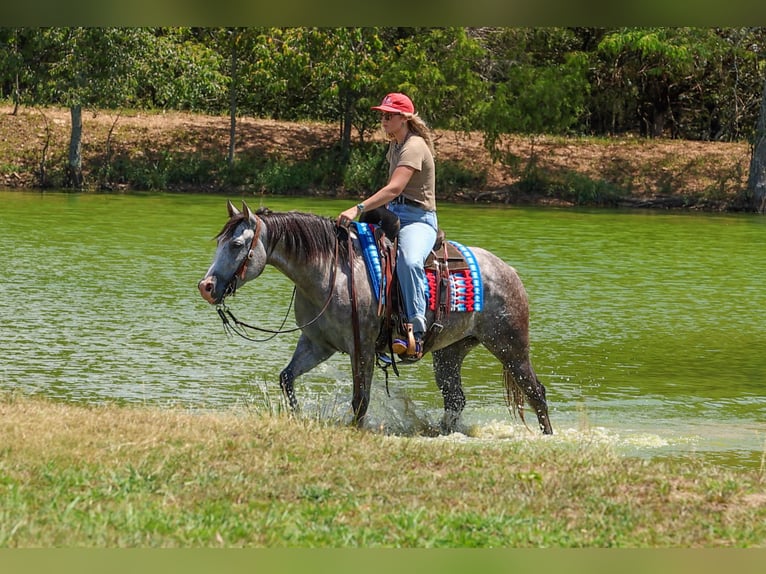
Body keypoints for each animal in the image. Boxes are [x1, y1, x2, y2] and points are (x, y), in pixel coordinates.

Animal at [198, 201, 552, 435]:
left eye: (237, 243)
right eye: (220, 241)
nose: (207, 286)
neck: (332, 271)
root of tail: (508, 271)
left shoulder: (363, 347)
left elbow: (361, 398)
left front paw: (355, 429)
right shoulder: (317, 344)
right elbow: (287, 378)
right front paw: (295, 417)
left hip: (510, 346)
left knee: (535, 391)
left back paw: (547, 436)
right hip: (451, 352)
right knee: (455, 399)